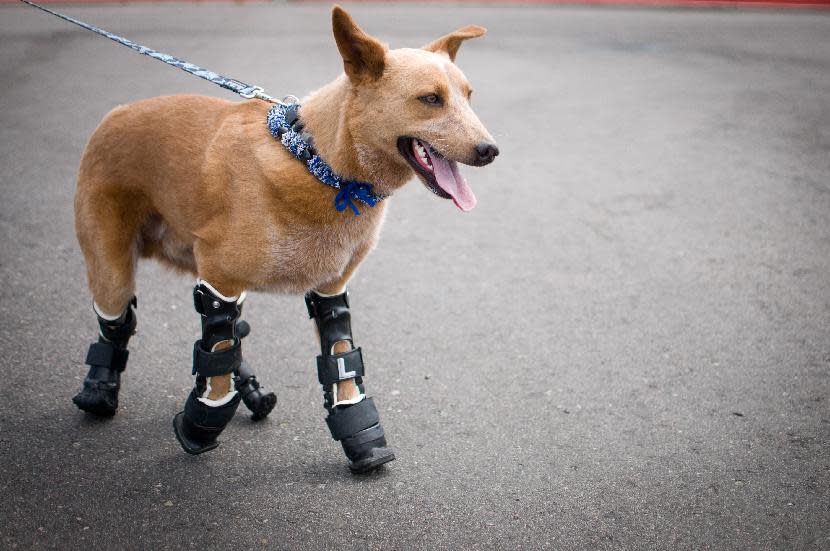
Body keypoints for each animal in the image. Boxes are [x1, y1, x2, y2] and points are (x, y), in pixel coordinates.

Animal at [71, 5, 498, 474]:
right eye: (430, 99)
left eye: (469, 96)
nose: (490, 151)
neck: (320, 164)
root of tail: (116, 113)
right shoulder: (218, 282)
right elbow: (216, 358)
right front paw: (201, 424)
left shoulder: (330, 290)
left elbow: (340, 361)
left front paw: (362, 439)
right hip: (113, 271)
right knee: (119, 326)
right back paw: (99, 390)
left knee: (234, 333)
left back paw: (253, 392)